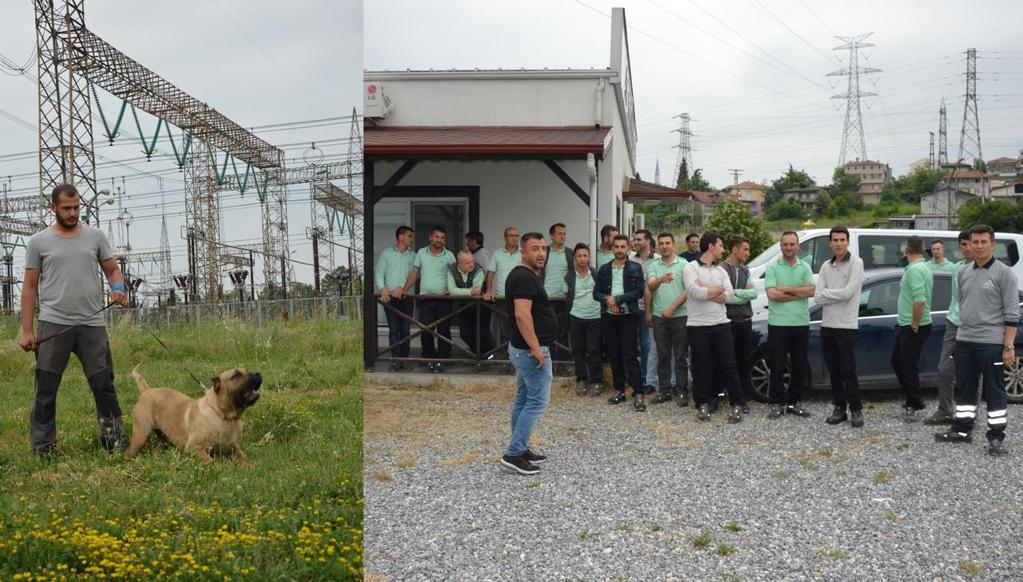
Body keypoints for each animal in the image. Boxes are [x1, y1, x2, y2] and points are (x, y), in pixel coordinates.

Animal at [124, 364, 261, 462]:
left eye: (248, 370)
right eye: (236, 375)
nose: (258, 374)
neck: (223, 415)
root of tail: (145, 391)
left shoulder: (232, 446)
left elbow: (244, 458)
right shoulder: (194, 447)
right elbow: (211, 461)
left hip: (163, 437)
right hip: (141, 435)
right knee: (129, 452)